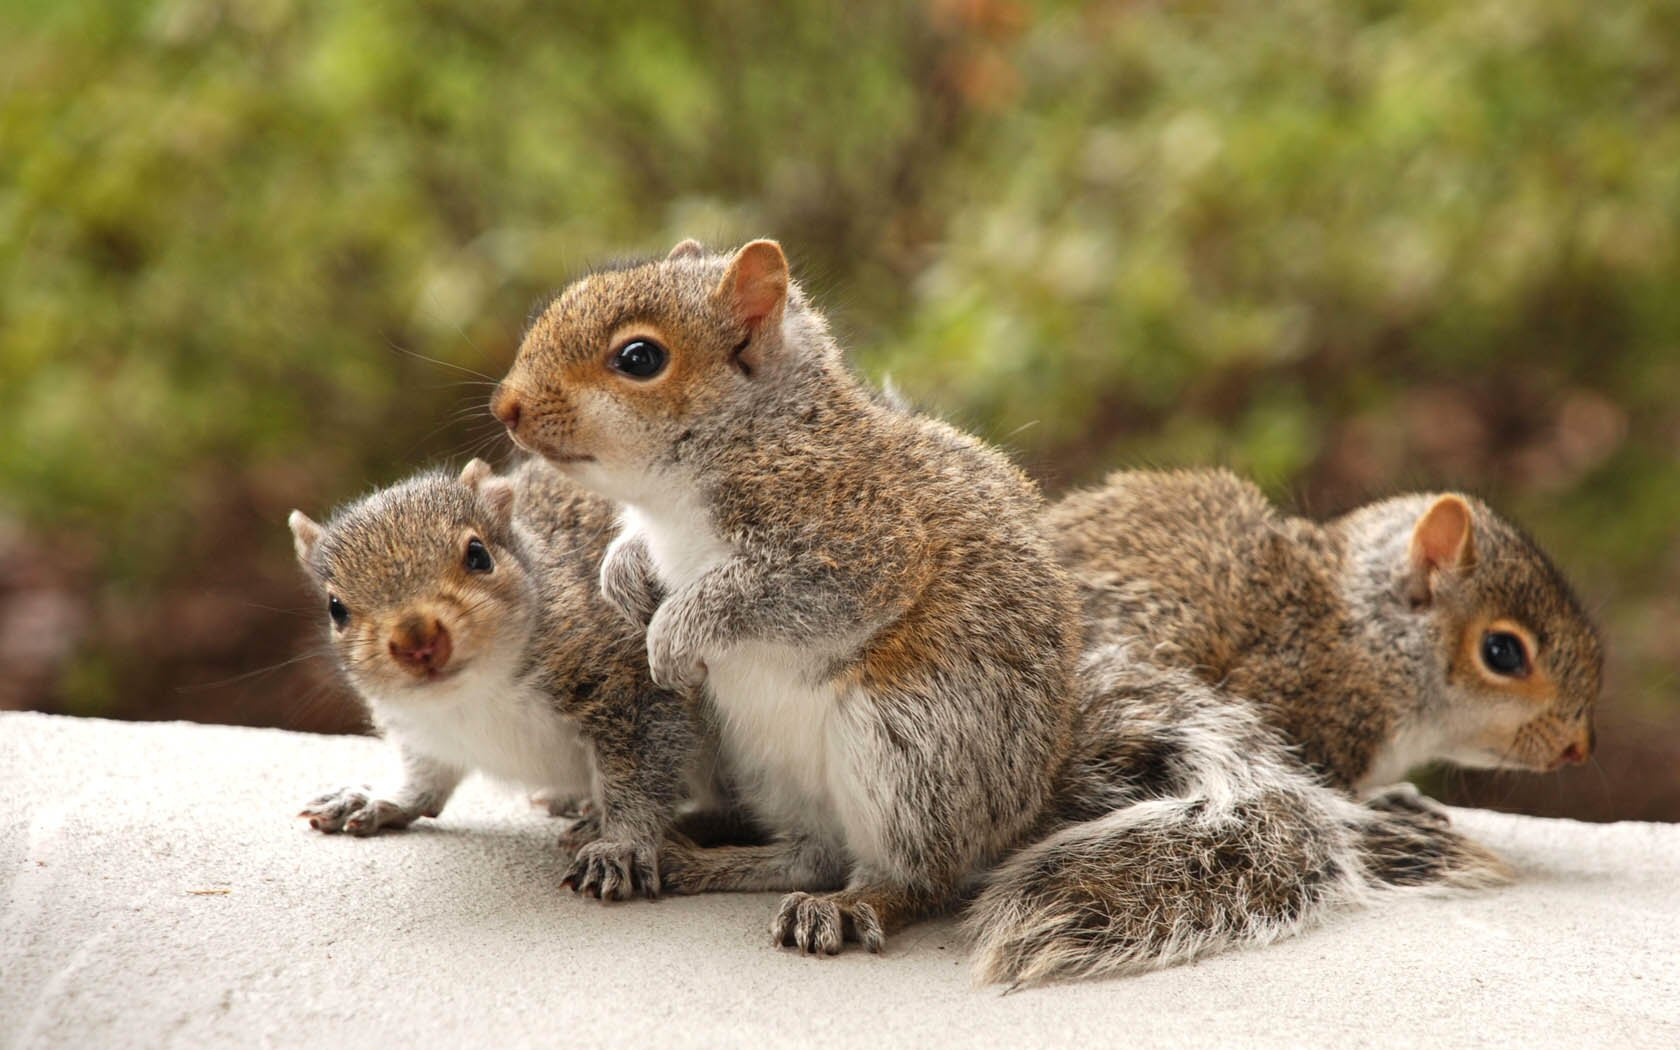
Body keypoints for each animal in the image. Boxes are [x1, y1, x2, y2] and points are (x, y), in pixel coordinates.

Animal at [288, 453, 695, 893]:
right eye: (336, 608)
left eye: (479, 555)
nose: (417, 641)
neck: (476, 693)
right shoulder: (423, 730)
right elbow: (426, 777)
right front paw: (382, 797)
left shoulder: (630, 683)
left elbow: (638, 776)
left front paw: (621, 844)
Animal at [490, 240, 1081, 960]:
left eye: (639, 359)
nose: (506, 407)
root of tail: (1013, 821)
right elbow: (630, 549)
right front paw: (623, 578)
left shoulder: (862, 540)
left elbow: (773, 591)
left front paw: (674, 631)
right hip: (763, 759)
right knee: (812, 856)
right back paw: (704, 861)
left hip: (909, 748)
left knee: (917, 877)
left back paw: (853, 904)